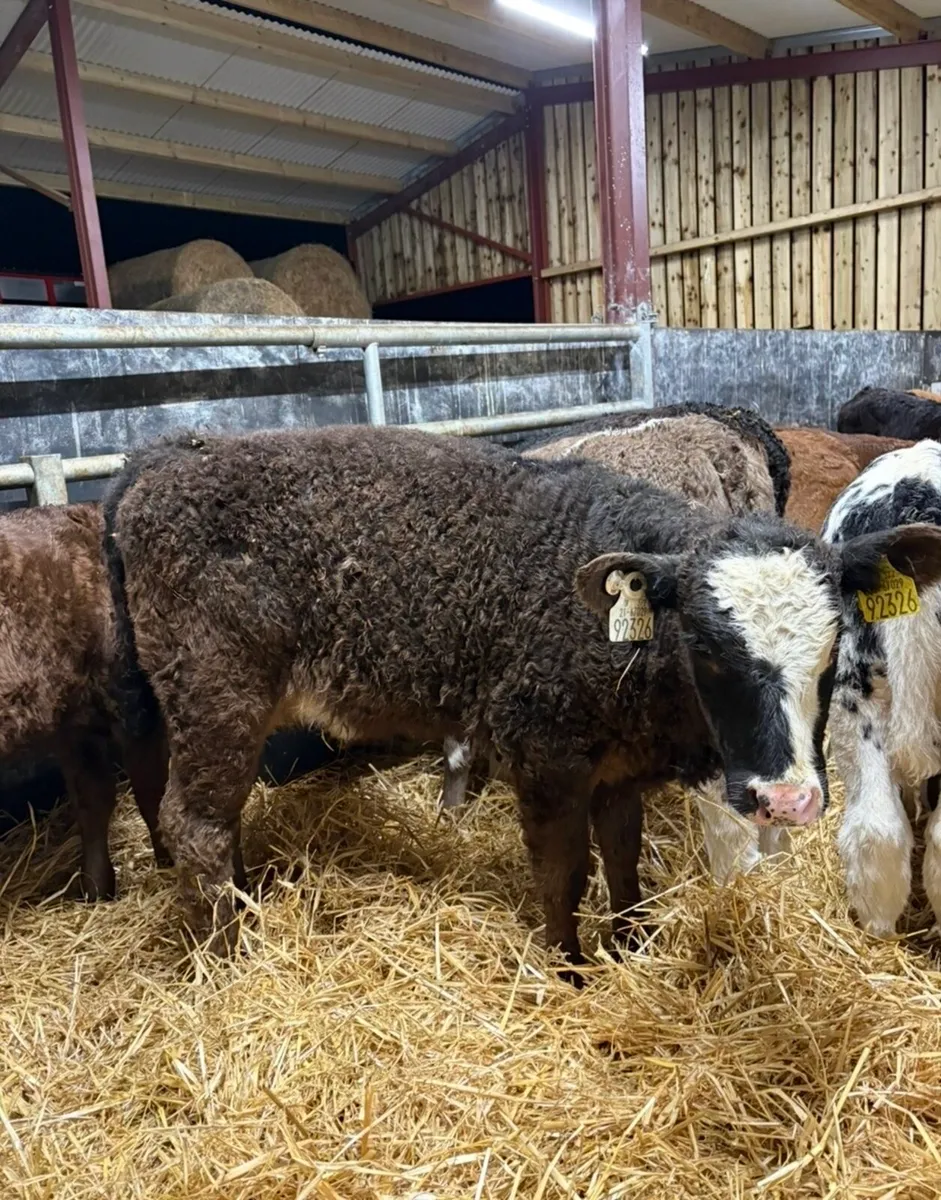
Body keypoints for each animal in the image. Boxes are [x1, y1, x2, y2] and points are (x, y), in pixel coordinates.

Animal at [104, 426, 941, 975]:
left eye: (832, 651)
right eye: (705, 652)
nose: (788, 800)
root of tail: (169, 453)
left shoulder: (616, 766)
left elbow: (623, 854)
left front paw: (631, 941)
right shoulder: (544, 757)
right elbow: (563, 868)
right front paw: (569, 967)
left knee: (217, 816)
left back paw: (242, 903)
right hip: (216, 690)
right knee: (195, 822)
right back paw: (222, 955)